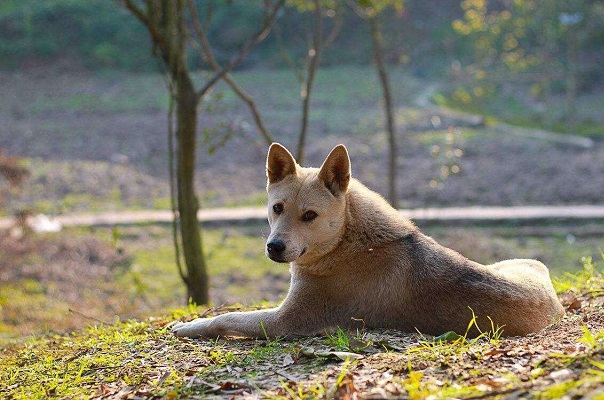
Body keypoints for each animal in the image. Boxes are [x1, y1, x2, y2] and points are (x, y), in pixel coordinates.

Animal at [171, 144, 568, 338]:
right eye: (277, 208)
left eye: (309, 216)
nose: (274, 247)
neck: (346, 241)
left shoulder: (286, 321)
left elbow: (225, 318)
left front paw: (186, 327)